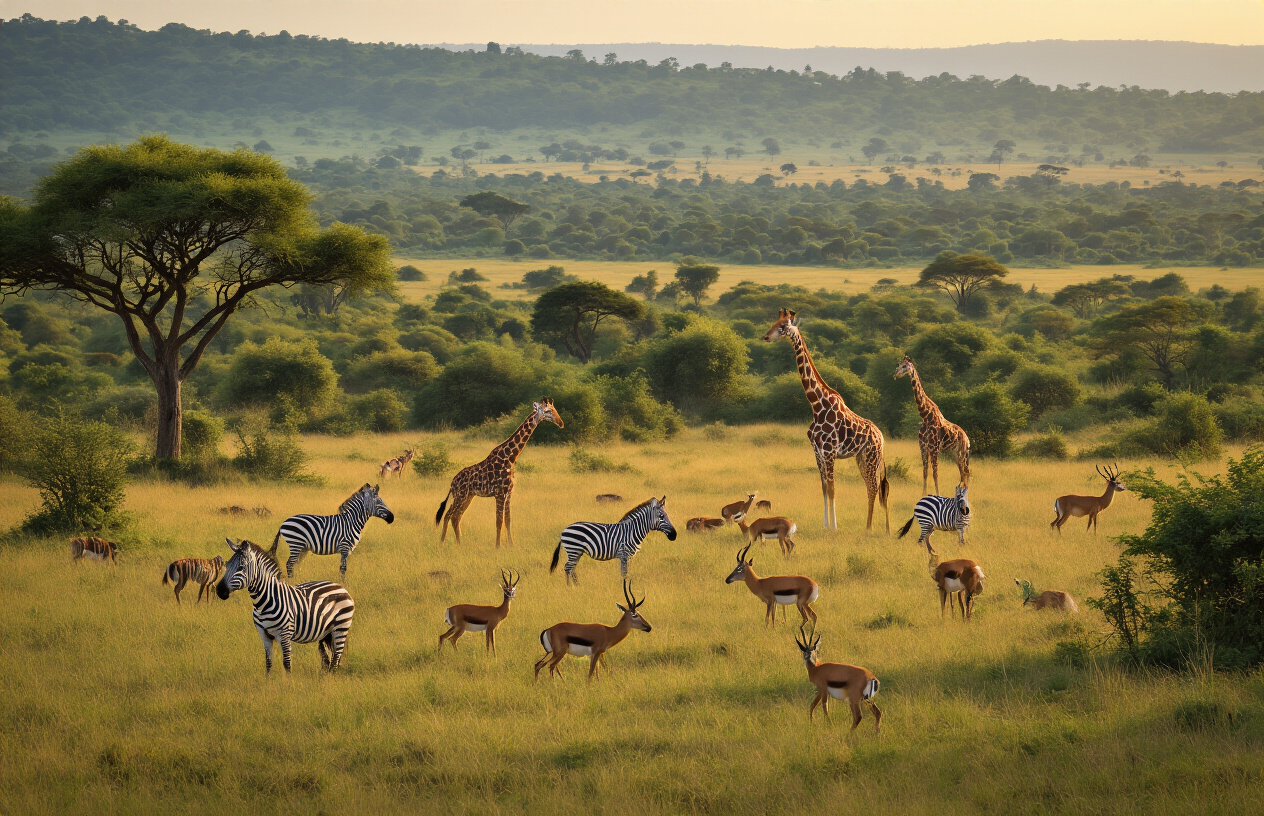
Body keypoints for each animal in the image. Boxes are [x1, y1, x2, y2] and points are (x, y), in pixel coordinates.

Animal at [216, 538, 355, 674]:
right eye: (226, 565)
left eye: (241, 567)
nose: (219, 591)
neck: (264, 603)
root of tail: (340, 587)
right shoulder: (264, 636)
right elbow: (268, 663)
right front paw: (268, 681)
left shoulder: (284, 635)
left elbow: (287, 664)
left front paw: (289, 681)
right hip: (326, 632)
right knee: (328, 658)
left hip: (341, 628)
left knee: (336, 658)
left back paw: (332, 677)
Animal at [434, 399, 564, 547]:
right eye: (548, 411)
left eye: (555, 409)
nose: (561, 423)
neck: (510, 458)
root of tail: (452, 483)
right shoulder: (500, 493)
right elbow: (499, 521)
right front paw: (497, 546)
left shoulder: (509, 493)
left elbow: (508, 520)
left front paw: (511, 545)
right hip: (460, 496)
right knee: (448, 514)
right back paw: (442, 541)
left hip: (468, 496)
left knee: (456, 516)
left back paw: (459, 543)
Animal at [764, 309, 890, 533]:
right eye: (774, 322)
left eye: (783, 326)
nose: (766, 337)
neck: (816, 406)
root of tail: (881, 436)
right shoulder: (817, 452)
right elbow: (824, 488)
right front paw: (825, 525)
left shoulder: (830, 452)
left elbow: (832, 489)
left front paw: (834, 527)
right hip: (862, 457)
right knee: (873, 486)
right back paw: (877, 527)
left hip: (872, 456)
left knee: (874, 487)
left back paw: (869, 528)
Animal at [894, 355, 971, 495]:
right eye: (898, 364)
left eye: (904, 366)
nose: (896, 374)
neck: (925, 415)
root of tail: (967, 438)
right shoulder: (923, 447)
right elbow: (925, 472)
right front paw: (923, 494)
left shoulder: (934, 448)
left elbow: (935, 473)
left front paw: (937, 494)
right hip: (956, 453)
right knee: (963, 473)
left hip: (962, 452)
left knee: (966, 472)